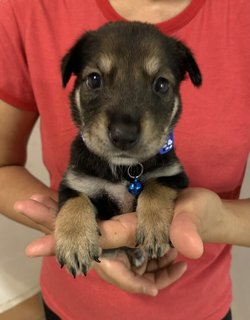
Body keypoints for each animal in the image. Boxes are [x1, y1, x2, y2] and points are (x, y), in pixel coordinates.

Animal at [54, 21, 201, 276]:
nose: (123, 135)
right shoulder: (74, 182)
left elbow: (154, 186)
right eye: (94, 79)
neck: (124, 169)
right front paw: (75, 243)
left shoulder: (174, 176)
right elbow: (75, 201)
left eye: (161, 84)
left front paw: (154, 229)